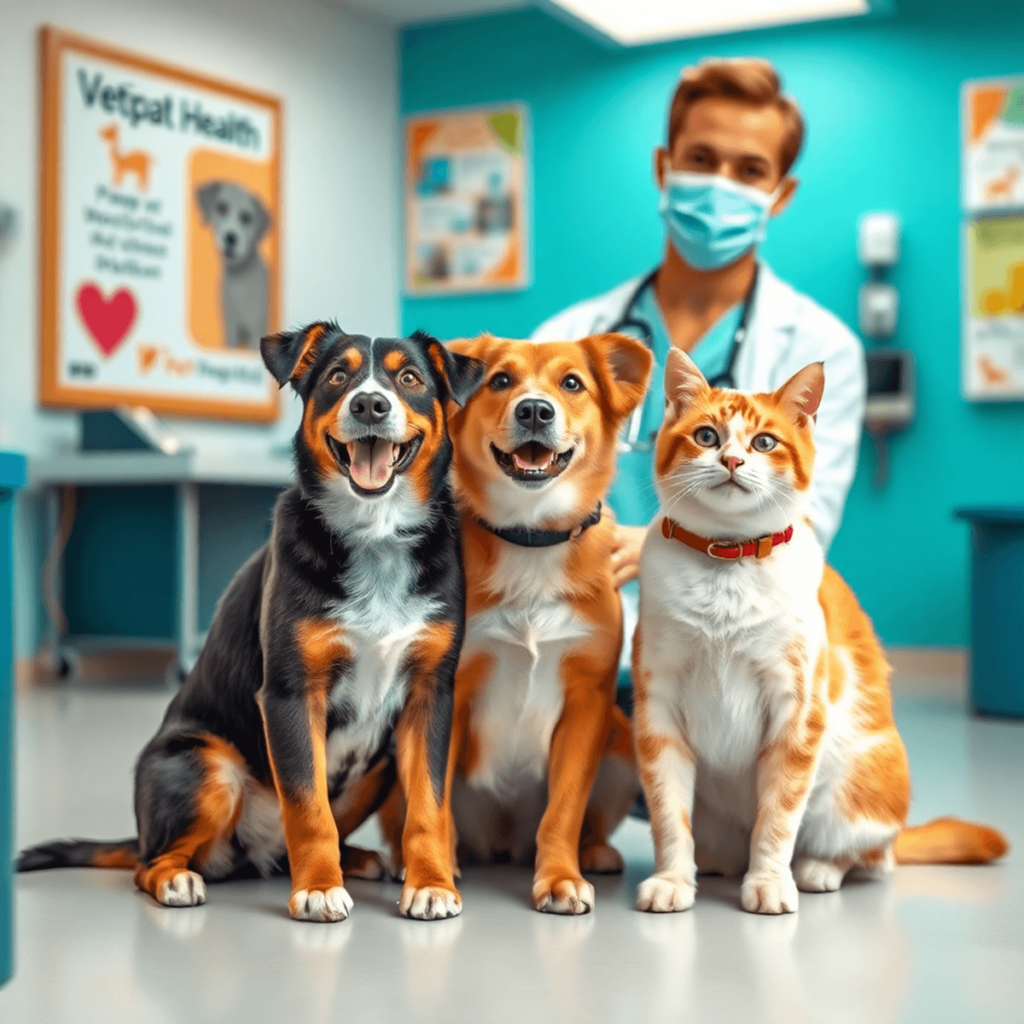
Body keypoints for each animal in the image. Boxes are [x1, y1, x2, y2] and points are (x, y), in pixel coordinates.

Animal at [19, 323, 483, 925]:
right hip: (207, 766)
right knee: (152, 863)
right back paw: (179, 879)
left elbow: (428, 806)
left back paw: (358, 859)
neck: (376, 536)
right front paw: (319, 888)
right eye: (337, 376)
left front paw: (430, 882)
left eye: (409, 378)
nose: (370, 405)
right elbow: (308, 808)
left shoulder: (431, 694)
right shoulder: (289, 694)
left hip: (377, 765)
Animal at [630, 348, 1007, 917]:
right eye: (706, 437)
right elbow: (668, 812)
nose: (732, 461)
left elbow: (779, 814)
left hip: (857, 789)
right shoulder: (658, 708)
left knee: (872, 856)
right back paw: (713, 864)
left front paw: (768, 881)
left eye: (764, 442)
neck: (726, 565)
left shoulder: (798, 708)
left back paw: (817, 869)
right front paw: (673, 878)